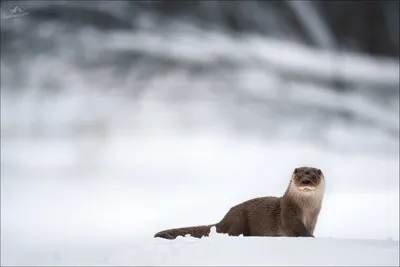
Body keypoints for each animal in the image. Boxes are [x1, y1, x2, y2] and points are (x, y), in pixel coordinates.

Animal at [153, 168, 324, 241]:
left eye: (314, 176)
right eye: (298, 175)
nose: (305, 181)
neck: (306, 210)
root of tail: (223, 219)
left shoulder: (313, 220)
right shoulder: (289, 214)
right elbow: (298, 230)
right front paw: (312, 238)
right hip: (238, 220)